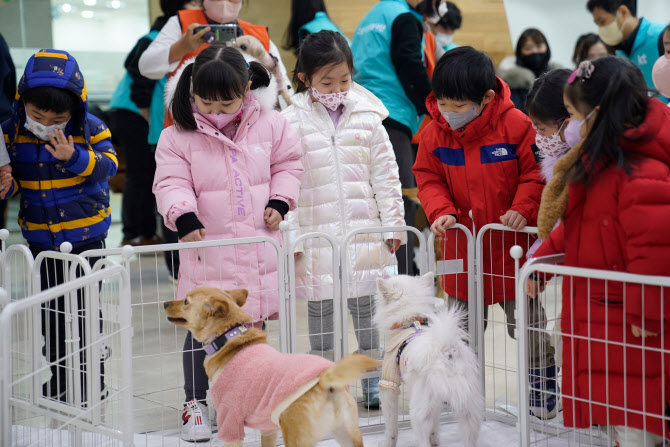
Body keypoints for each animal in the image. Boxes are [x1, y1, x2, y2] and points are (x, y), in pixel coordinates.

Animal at [164, 288, 378, 446]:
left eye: (186, 301)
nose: (165, 303)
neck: (227, 337)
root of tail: (327, 382)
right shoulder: (268, 429)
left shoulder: (230, 422)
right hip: (347, 434)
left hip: (297, 437)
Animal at [378, 272, 484, 446]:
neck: (409, 322)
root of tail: (446, 352)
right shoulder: (436, 402)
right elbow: (435, 424)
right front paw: (435, 439)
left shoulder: (389, 382)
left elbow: (391, 424)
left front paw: (388, 442)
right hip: (469, 405)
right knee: (470, 435)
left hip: (420, 409)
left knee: (422, 438)